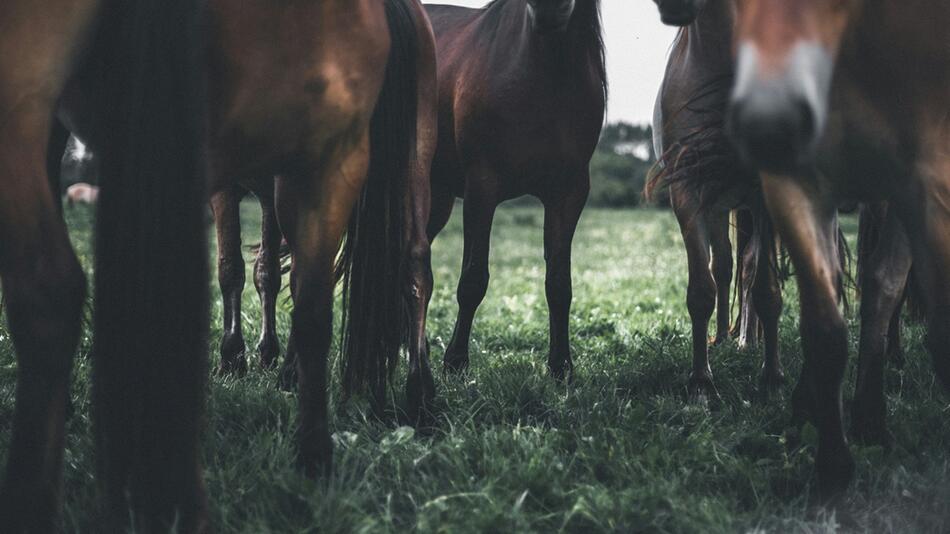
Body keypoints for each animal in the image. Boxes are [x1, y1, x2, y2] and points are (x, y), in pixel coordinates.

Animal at [426, 0, 608, 384]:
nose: (549, 7)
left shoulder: (568, 193)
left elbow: (559, 284)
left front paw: (561, 367)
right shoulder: (482, 188)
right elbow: (473, 280)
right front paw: (455, 363)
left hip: (435, 200)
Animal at [648, 0, 788, 402]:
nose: (673, 4)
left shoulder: (765, 194)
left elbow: (766, 289)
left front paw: (772, 379)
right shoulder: (689, 193)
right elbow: (702, 289)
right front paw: (701, 382)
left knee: (749, 268)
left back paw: (749, 341)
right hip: (719, 208)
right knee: (725, 266)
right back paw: (726, 338)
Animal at [724, 0, 948, 502]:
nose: (772, 120)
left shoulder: (917, 184)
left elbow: (886, 288)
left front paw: (870, 421)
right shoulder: (795, 185)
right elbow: (824, 325)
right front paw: (833, 467)